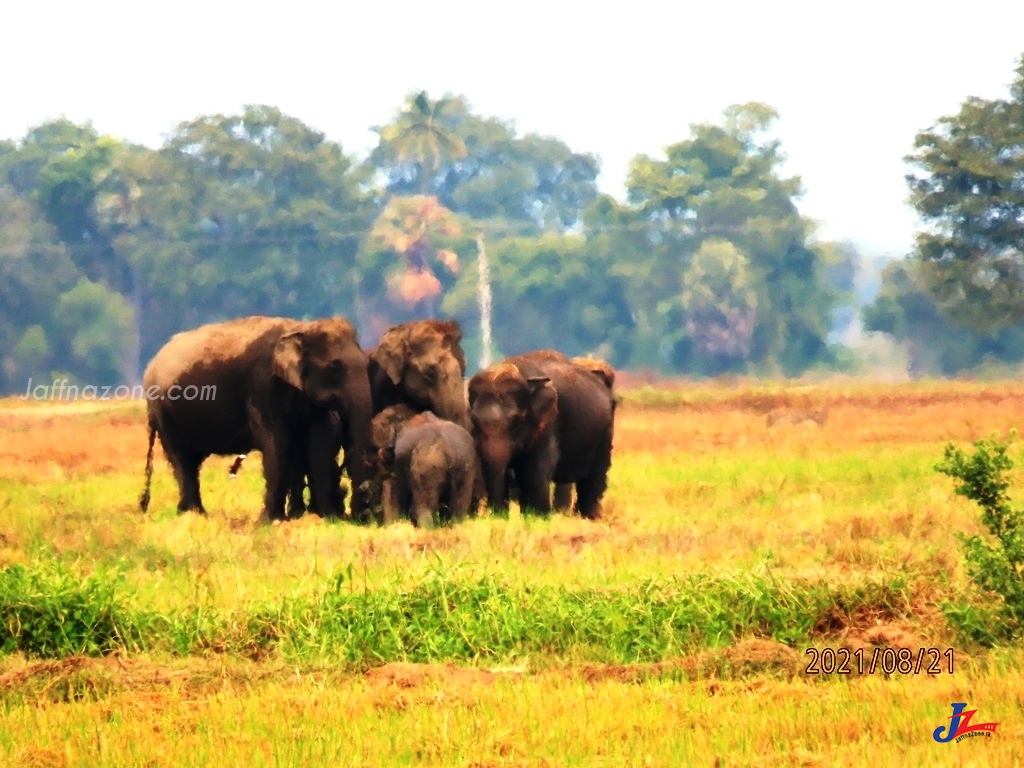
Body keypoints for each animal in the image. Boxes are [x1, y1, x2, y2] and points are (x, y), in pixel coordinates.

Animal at [138, 315, 374, 528]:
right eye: (334, 366)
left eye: (367, 363)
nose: (359, 516)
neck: (300, 328)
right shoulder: (260, 387)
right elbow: (277, 443)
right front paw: (270, 522)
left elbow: (320, 444)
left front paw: (327, 520)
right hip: (162, 411)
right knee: (181, 458)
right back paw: (192, 515)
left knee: (192, 461)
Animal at [466, 352, 614, 520]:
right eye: (473, 421)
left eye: (517, 421)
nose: (498, 514)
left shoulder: (549, 423)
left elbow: (537, 470)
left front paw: (540, 518)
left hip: (605, 432)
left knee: (594, 477)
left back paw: (590, 517)